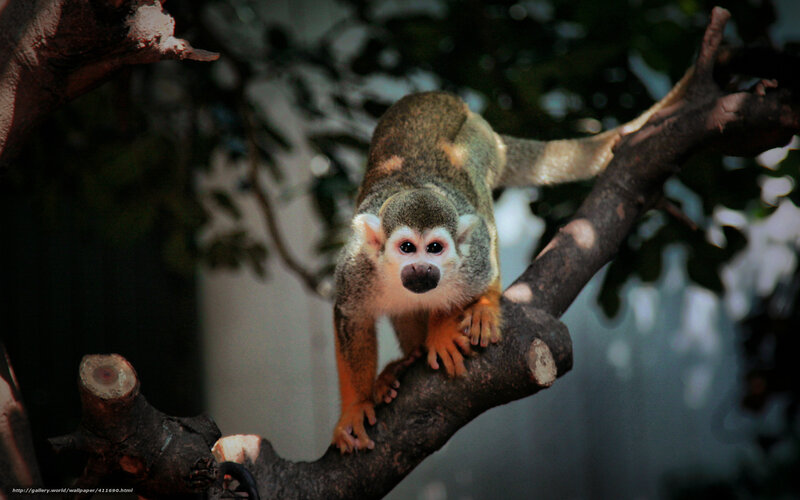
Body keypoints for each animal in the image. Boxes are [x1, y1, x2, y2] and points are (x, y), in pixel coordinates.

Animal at [331, 69, 693, 453]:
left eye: (434, 248)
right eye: (406, 248)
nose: (423, 270)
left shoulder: (469, 260)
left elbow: (479, 259)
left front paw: (443, 328)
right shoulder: (356, 267)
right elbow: (350, 317)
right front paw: (355, 409)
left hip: (480, 142)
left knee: (477, 194)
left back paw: (480, 308)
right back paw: (406, 361)